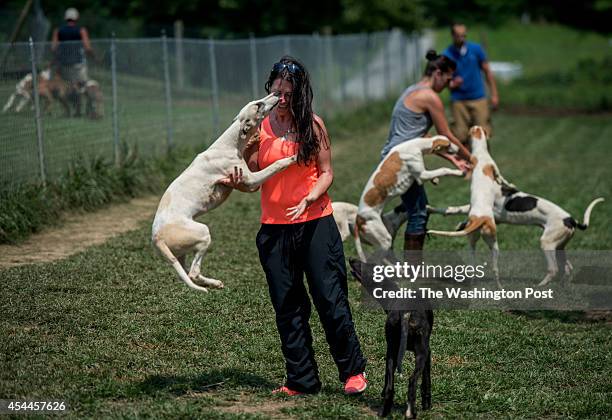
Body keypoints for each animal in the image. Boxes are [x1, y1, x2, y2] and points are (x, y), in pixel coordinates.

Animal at [152, 93, 298, 292]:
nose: (276, 93)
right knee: (193, 273)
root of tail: (156, 237)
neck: (229, 143)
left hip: (182, 250)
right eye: (258, 105)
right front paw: (292, 158)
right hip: (202, 233)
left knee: (189, 273)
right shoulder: (250, 181)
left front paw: (254, 138)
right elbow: (275, 165)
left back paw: (213, 282)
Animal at [346, 258, 432, 418]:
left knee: (389, 387)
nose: (351, 259)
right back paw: (410, 412)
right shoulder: (428, 352)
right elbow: (426, 380)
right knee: (412, 381)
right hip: (420, 353)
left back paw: (384, 411)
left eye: (368, 264)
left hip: (391, 352)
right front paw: (427, 405)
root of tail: (405, 313)